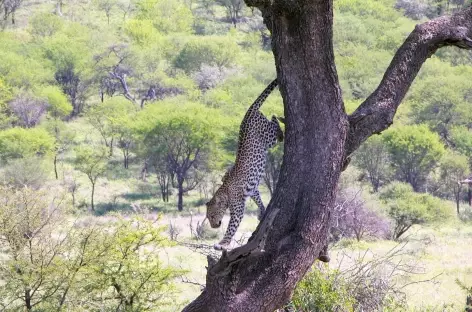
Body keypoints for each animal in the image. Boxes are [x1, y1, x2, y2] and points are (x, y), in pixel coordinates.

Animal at [205, 78, 282, 251]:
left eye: (212, 215)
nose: (213, 226)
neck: (225, 191)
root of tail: (248, 111)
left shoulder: (238, 209)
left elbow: (231, 227)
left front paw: (222, 244)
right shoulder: (252, 190)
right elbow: (258, 199)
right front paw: (263, 212)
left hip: (267, 137)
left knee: (274, 123)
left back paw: (281, 125)